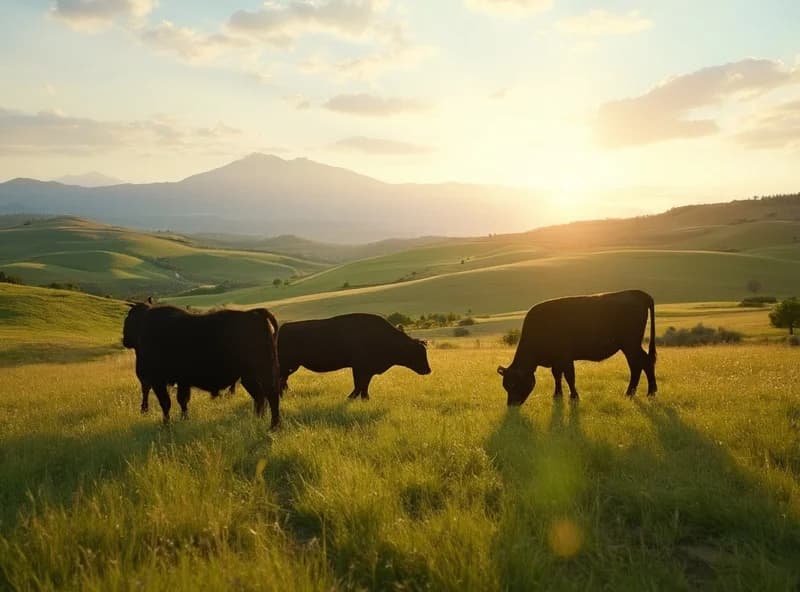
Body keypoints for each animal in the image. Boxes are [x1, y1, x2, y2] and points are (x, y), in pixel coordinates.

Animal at [122, 302, 281, 427]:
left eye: (128, 320)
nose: (124, 339)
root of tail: (256, 313)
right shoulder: (182, 382)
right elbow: (182, 401)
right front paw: (184, 419)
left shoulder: (158, 381)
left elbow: (166, 402)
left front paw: (166, 423)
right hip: (249, 377)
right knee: (260, 396)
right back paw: (258, 419)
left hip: (264, 372)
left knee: (271, 395)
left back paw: (273, 426)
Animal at [278, 313, 432, 400]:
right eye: (416, 352)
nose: (428, 370)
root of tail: (282, 328)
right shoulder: (359, 368)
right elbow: (359, 385)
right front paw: (351, 398)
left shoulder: (367, 370)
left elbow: (364, 385)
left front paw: (365, 398)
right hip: (288, 365)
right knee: (281, 380)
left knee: (283, 380)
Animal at [497, 290, 657, 406]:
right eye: (505, 385)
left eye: (513, 384)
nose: (511, 405)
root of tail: (638, 293)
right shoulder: (556, 360)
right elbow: (557, 375)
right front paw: (557, 395)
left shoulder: (565, 358)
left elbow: (569, 376)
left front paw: (574, 397)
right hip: (630, 346)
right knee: (640, 364)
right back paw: (637, 392)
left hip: (630, 345)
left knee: (643, 363)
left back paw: (645, 392)